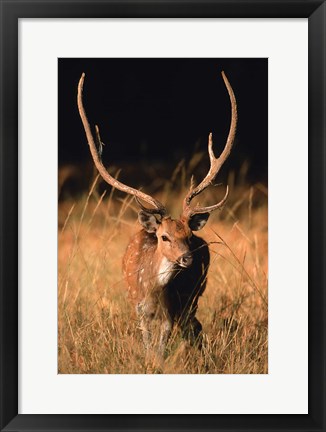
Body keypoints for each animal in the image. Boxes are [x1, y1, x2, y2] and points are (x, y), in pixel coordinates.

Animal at [77, 71, 238, 358]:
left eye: (188, 236)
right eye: (164, 237)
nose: (187, 258)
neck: (152, 292)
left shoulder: (170, 313)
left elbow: (161, 348)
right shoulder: (138, 308)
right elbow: (147, 345)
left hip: (196, 294)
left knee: (195, 326)